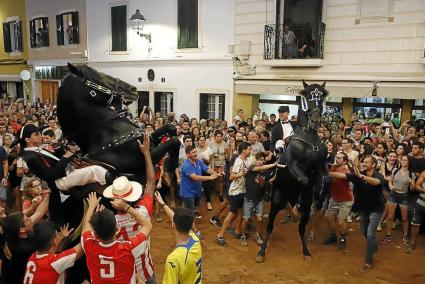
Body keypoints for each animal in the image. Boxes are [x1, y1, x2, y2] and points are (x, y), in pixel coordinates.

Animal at [255, 80, 332, 262]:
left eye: (322, 97)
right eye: (308, 96)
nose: (316, 120)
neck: (310, 139)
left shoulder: (320, 165)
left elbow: (326, 180)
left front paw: (318, 202)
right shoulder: (293, 165)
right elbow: (304, 180)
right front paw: (302, 202)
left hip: (302, 214)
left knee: (301, 229)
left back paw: (306, 250)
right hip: (276, 202)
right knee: (269, 227)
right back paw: (262, 251)